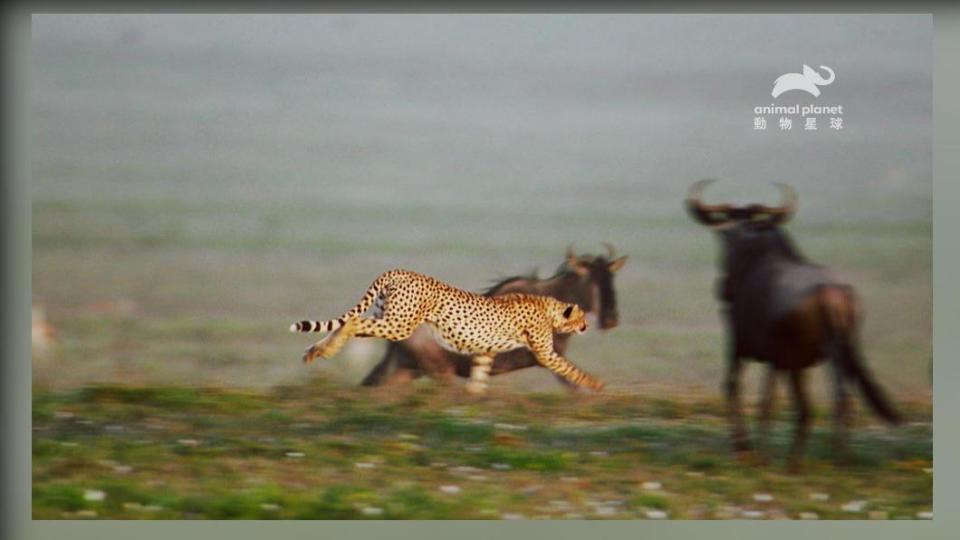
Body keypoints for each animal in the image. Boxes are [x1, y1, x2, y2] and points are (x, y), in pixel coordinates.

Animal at [288, 270, 604, 392]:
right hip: (399, 325)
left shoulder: (485, 350)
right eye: (580, 318)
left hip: (387, 320)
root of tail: (396, 270)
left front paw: (474, 399)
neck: (549, 305)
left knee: (349, 324)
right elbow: (571, 370)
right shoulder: (545, 353)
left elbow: (478, 377)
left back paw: (315, 351)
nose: (587, 325)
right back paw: (321, 350)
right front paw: (596, 384)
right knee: (353, 323)